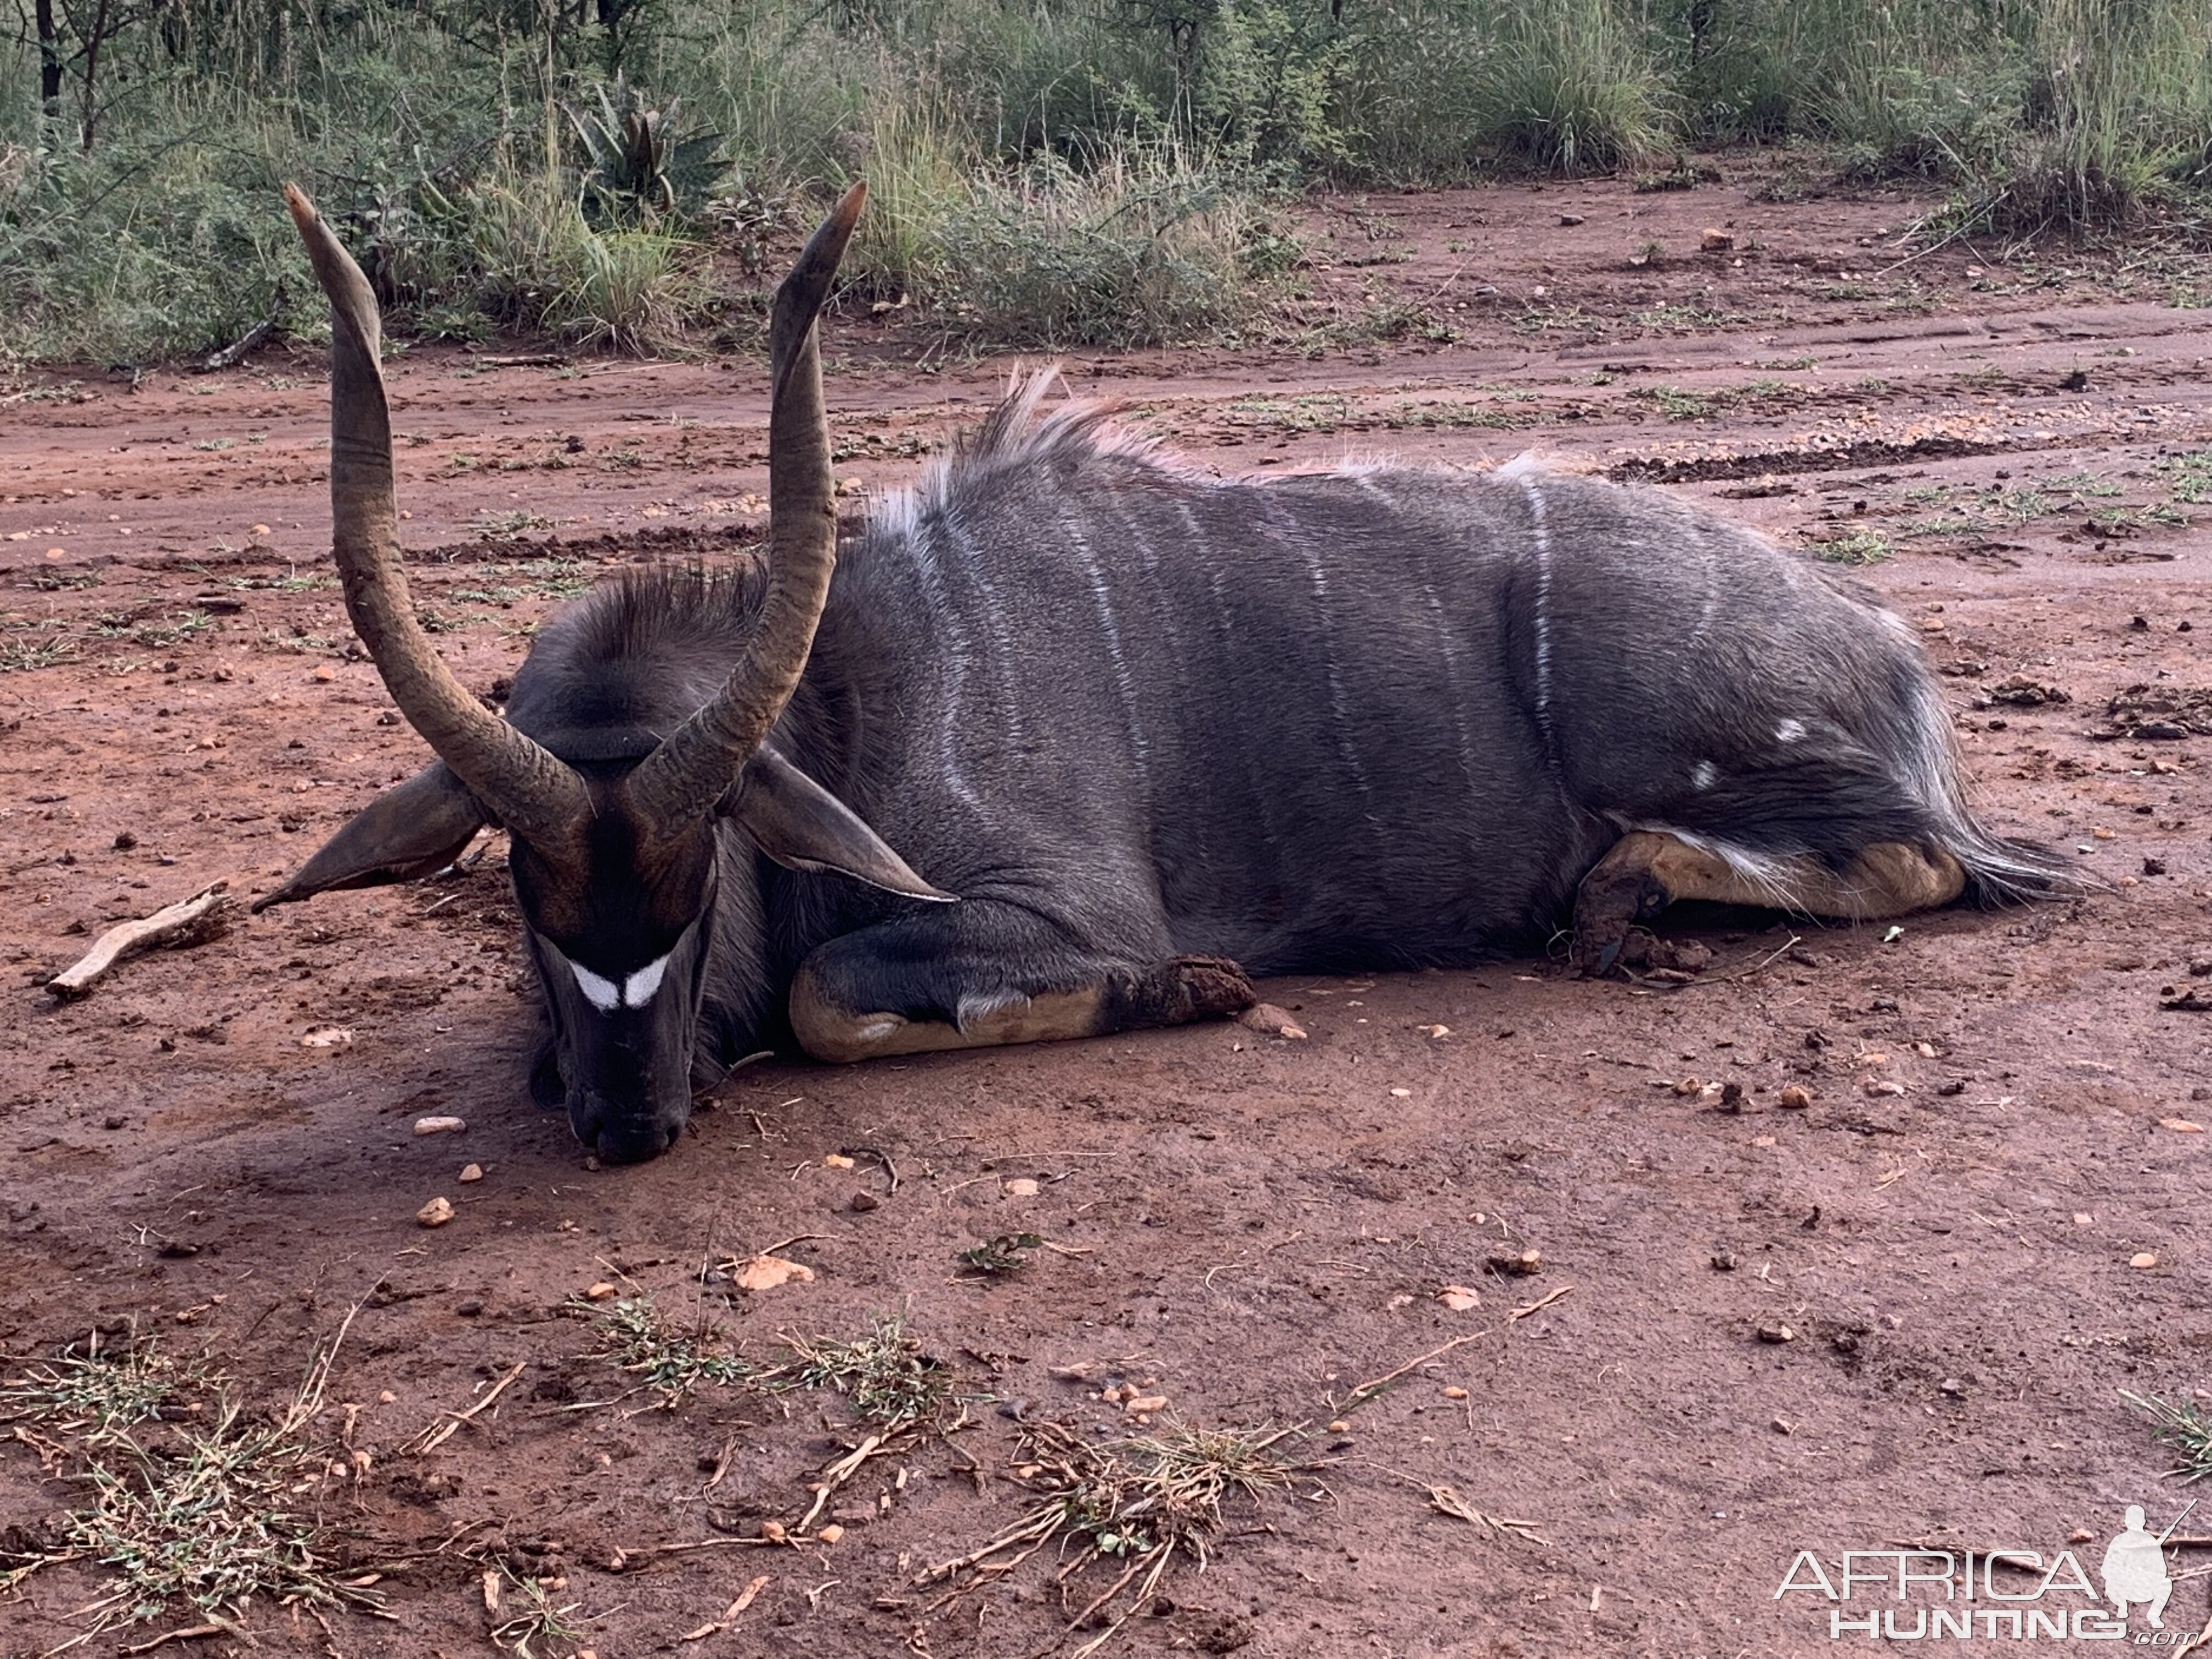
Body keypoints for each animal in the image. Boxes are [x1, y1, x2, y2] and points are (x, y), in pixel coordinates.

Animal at [263, 181, 2070, 1159]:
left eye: (708, 870)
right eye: (519, 888)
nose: (628, 1121)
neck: (855, 697)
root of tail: (1892, 654)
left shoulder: (1060, 908)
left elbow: (833, 995)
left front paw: (1195, 989)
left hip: (1704, 748)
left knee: (1921, 859)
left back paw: (1620, 895)